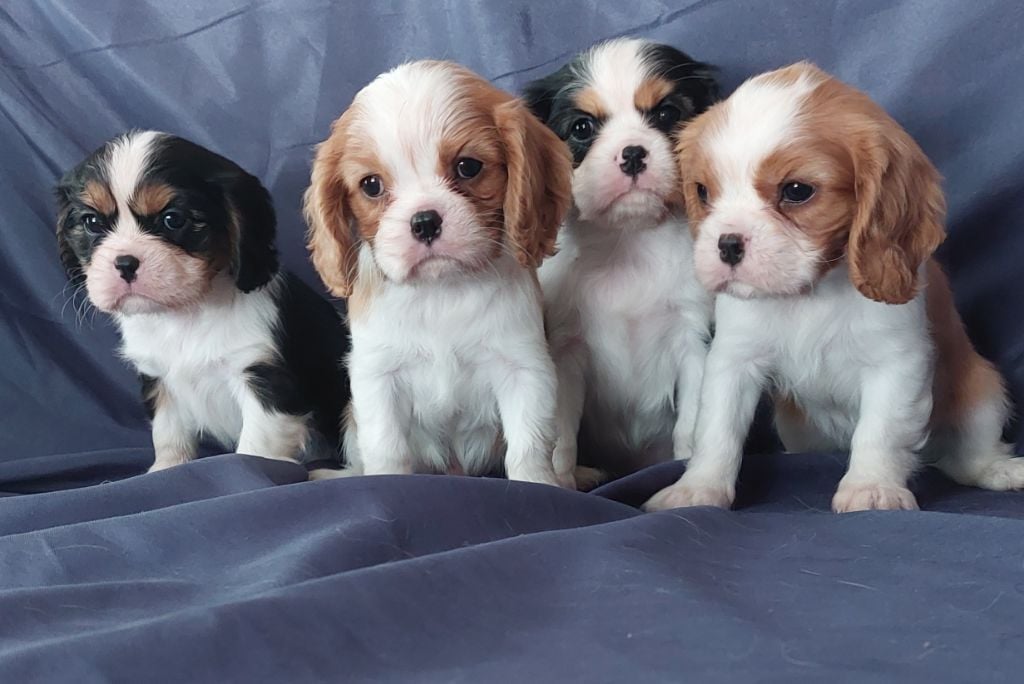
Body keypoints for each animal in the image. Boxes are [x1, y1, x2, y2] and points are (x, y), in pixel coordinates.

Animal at [57, 131, 352, 473]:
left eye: (173, 219)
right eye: (92, 222)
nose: (125, 263)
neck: (186, 312)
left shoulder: (264, 378)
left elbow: (257, 446)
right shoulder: (159, 379)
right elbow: (168, 433)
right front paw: (167, 468)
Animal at [303, 60, 577, 485]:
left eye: (468, 167)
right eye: (371, 185)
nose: (424, 221)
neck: (441, 290)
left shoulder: (524, 369)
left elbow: (529, 446)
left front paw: (539, 485)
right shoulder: (377, 376)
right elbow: (386, 447)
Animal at [528, 40, 720, 483]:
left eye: (667, 113)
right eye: (582, 128)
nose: (632, 153)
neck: (629, 238)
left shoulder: (694, 338)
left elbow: (692, 419)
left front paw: (685, 469)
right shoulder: (565, 348)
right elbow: (561, 431)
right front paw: (562, 479)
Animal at [647, 65, 1024, 511]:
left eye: (796, 191)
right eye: (703, 191)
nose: (727, 244)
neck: (811, 290)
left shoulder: (897, 362)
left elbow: (880, 430)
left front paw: (871, 487)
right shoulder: (733, 360)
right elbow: (717, 430)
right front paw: (697, 488)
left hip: (983, 390)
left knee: (966, 459)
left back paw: (998, 470)